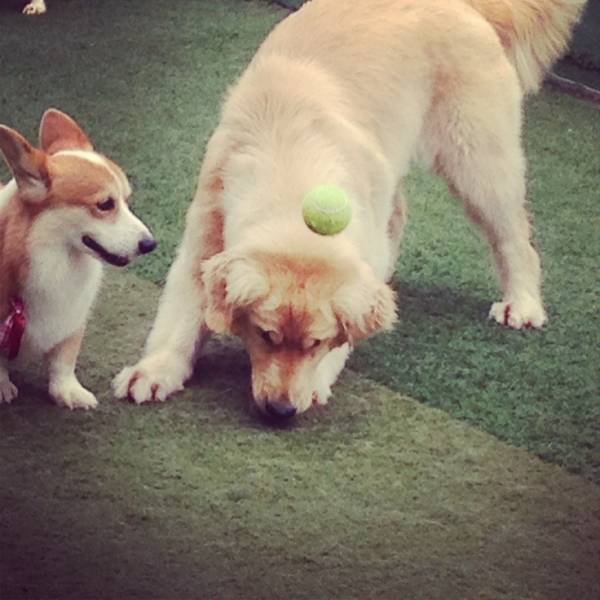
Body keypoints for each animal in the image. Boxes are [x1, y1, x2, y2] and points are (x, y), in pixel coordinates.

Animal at [0, 109, 155, 408]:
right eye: (105, 204)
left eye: (126, 200)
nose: (150, 244)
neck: (58, 263)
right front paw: (1, 387)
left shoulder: (73, 319)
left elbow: (64, 360)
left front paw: (67, 391)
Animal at [113, 0, 584, 420]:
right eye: (265, 335)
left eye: (318, 343)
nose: (281, 412)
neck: (289, 154)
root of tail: (464, 4)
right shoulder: (207, 225)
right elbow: (181, 313)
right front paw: (156, 370)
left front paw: (319, 380)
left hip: (478, 160)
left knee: (514, 239)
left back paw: (522, 303)